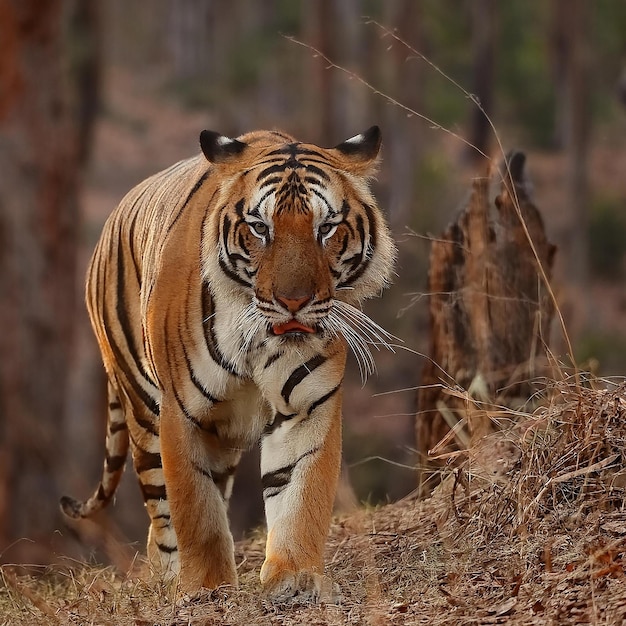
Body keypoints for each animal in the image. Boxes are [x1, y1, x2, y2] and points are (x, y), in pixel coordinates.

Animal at [63, 123, 394, 600]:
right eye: (260, 228)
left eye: (327, 228)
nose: (294, 302)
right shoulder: (181, 414)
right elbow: (196, 511)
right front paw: (205, 586)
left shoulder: (309, 406)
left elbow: (300, 492)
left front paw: (294, 576)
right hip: (143, 412)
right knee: (161, 511)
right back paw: (167, 575)